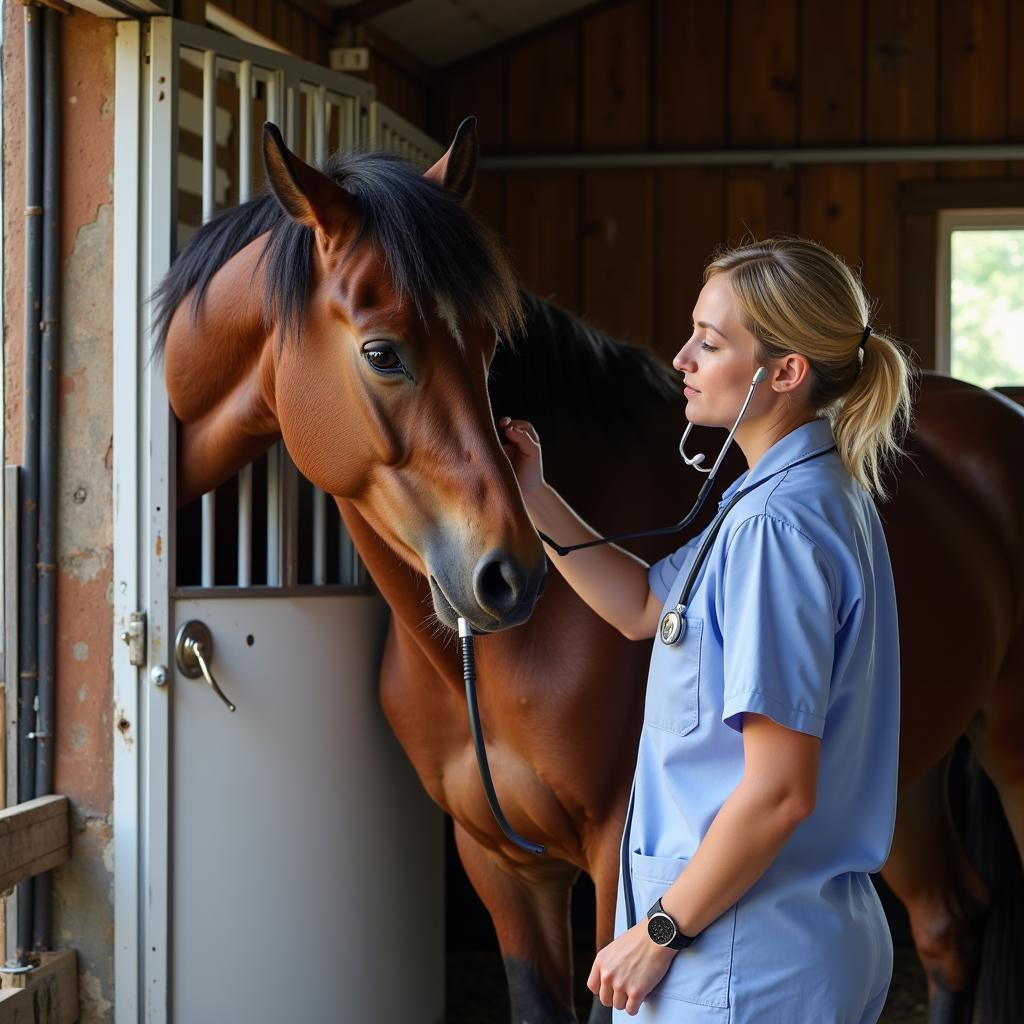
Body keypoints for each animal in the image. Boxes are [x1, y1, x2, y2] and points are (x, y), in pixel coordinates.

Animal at [153, 121, 1024, 1024]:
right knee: (948, 920)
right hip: (906, 771)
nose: (510, 579)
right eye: (382, 352)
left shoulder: (617, 857)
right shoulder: (498, 859)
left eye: (491, 347)